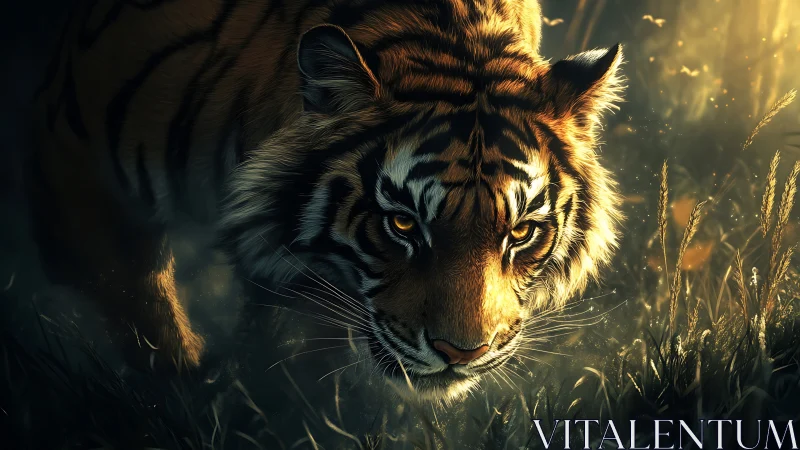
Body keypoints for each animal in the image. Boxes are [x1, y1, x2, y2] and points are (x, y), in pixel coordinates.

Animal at [28, 0, 624, 401]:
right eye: (402, 225)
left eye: (520, 232)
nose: (463, 354)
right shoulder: (74, 156)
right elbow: (139, 301)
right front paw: (186, 395)